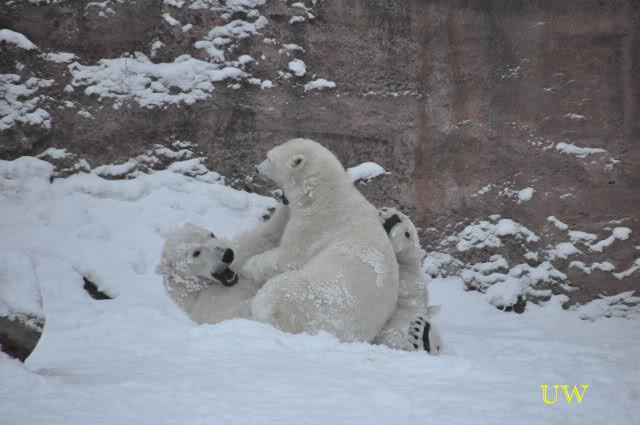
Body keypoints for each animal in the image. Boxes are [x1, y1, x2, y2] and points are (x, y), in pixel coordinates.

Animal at [241, 138, 400, 343]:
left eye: (269, 157)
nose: (256, 169)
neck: (324, 194)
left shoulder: (313, 225)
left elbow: (286, 259)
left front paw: (249, 265)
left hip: (306, 296)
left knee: (277, 292)